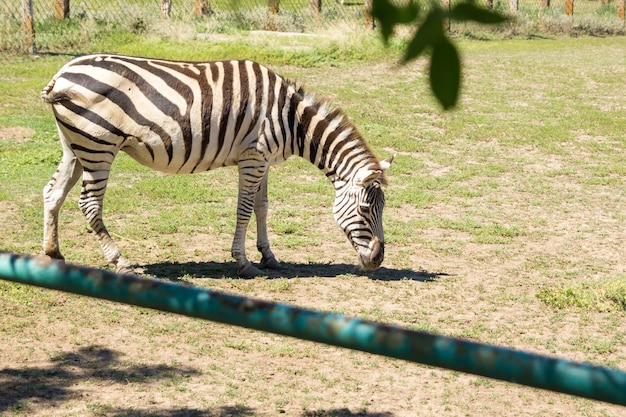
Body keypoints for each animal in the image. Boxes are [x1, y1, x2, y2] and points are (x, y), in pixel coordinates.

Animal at [39, 54, 392, 276]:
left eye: (382, 208)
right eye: (364, 209)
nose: (378, 259)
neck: (292, 120)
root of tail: (61, 73)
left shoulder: (262, 160)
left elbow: (263, 207)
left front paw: (269, 256)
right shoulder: (252, 158)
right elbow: (244, 209)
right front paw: (243, 262)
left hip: (75, 146)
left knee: (52, 192)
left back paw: (53, 252)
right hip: (99, 146)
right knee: (89, 204)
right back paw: (120, 261)